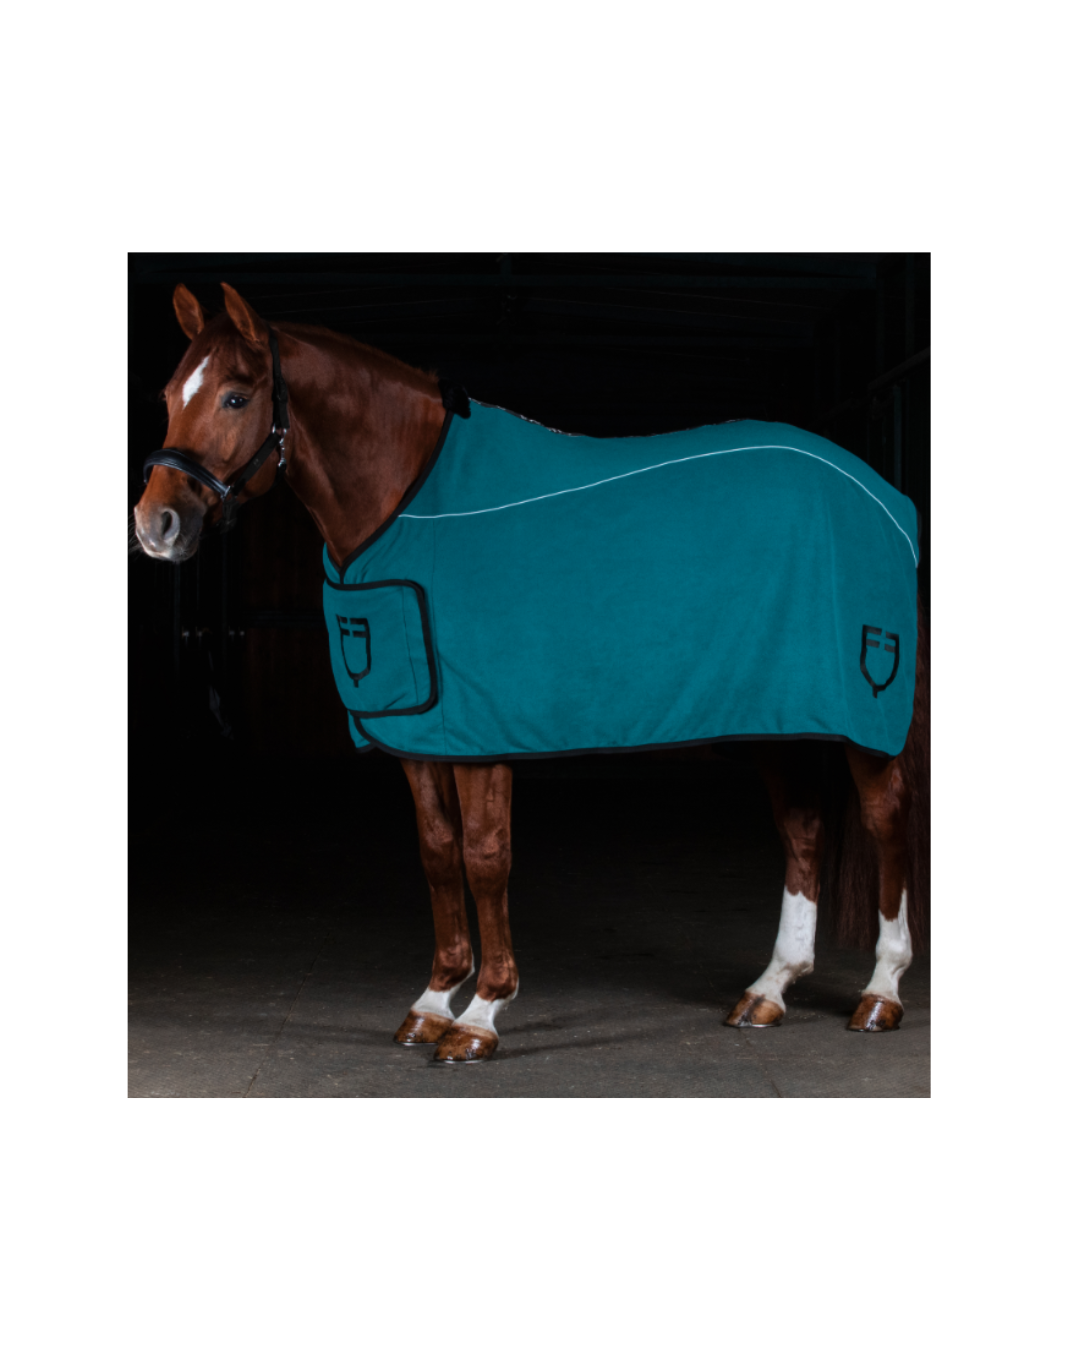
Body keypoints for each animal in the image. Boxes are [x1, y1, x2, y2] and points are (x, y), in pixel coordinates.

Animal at [134, 282, 929, 1064]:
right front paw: (433, 1001)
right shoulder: (419, 735)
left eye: (236, 396)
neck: (409, 497)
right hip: (780, 712)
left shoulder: (481, 737)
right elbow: (438, 854)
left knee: (886, 818)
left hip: (862, 713)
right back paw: (770, 988)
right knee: (803, 827)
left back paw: (880, 992)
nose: (155, 525)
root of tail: (886, 496)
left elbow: (486, 858)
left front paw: (482, 1014)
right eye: (170, 394)